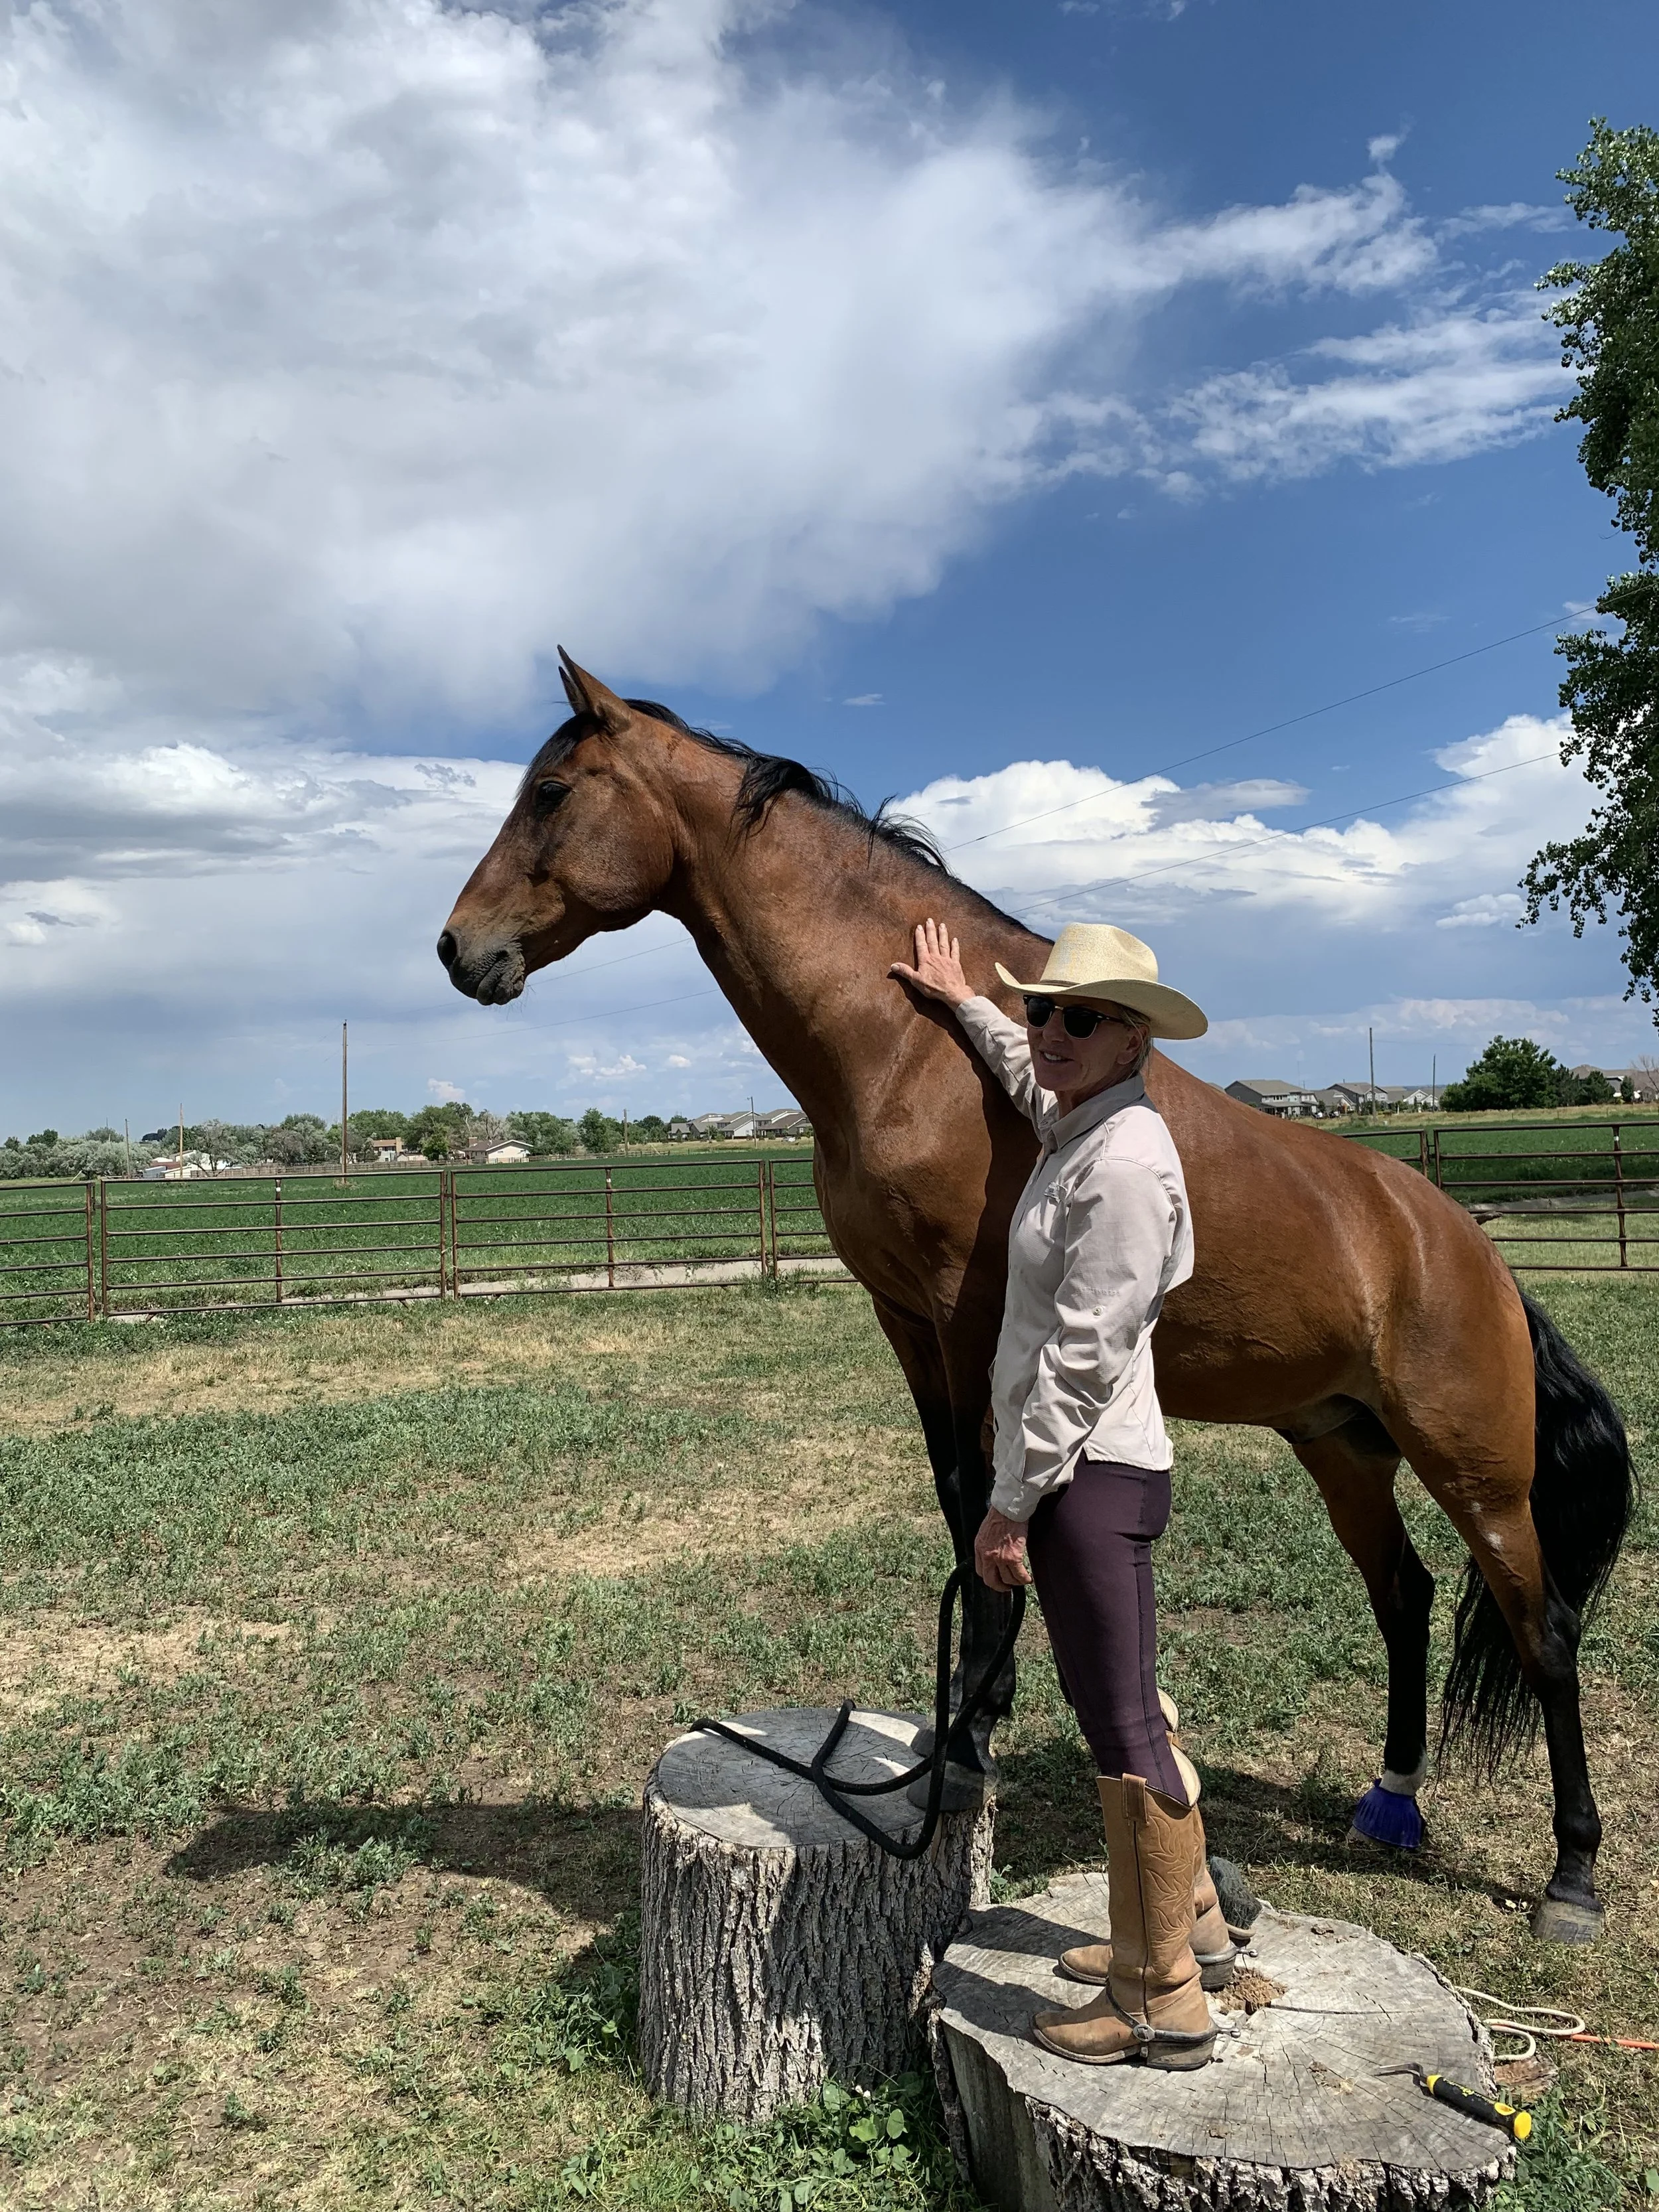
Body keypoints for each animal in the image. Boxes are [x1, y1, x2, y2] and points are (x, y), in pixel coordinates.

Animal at [438, 653, 1632, 1943]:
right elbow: (959, 1505)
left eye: (552, 791)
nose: (458, 949)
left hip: (1475, 1467)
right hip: (1341, 1442)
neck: (914, 1051)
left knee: (1543, 1627)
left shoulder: (973, 1318)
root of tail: (1465, 1249)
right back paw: (1390, 1802)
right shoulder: (907, 1322)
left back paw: (1571, 1876)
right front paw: (964, 1727)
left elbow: (987, 1503)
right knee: (1405, 1596)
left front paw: (967, 1745)